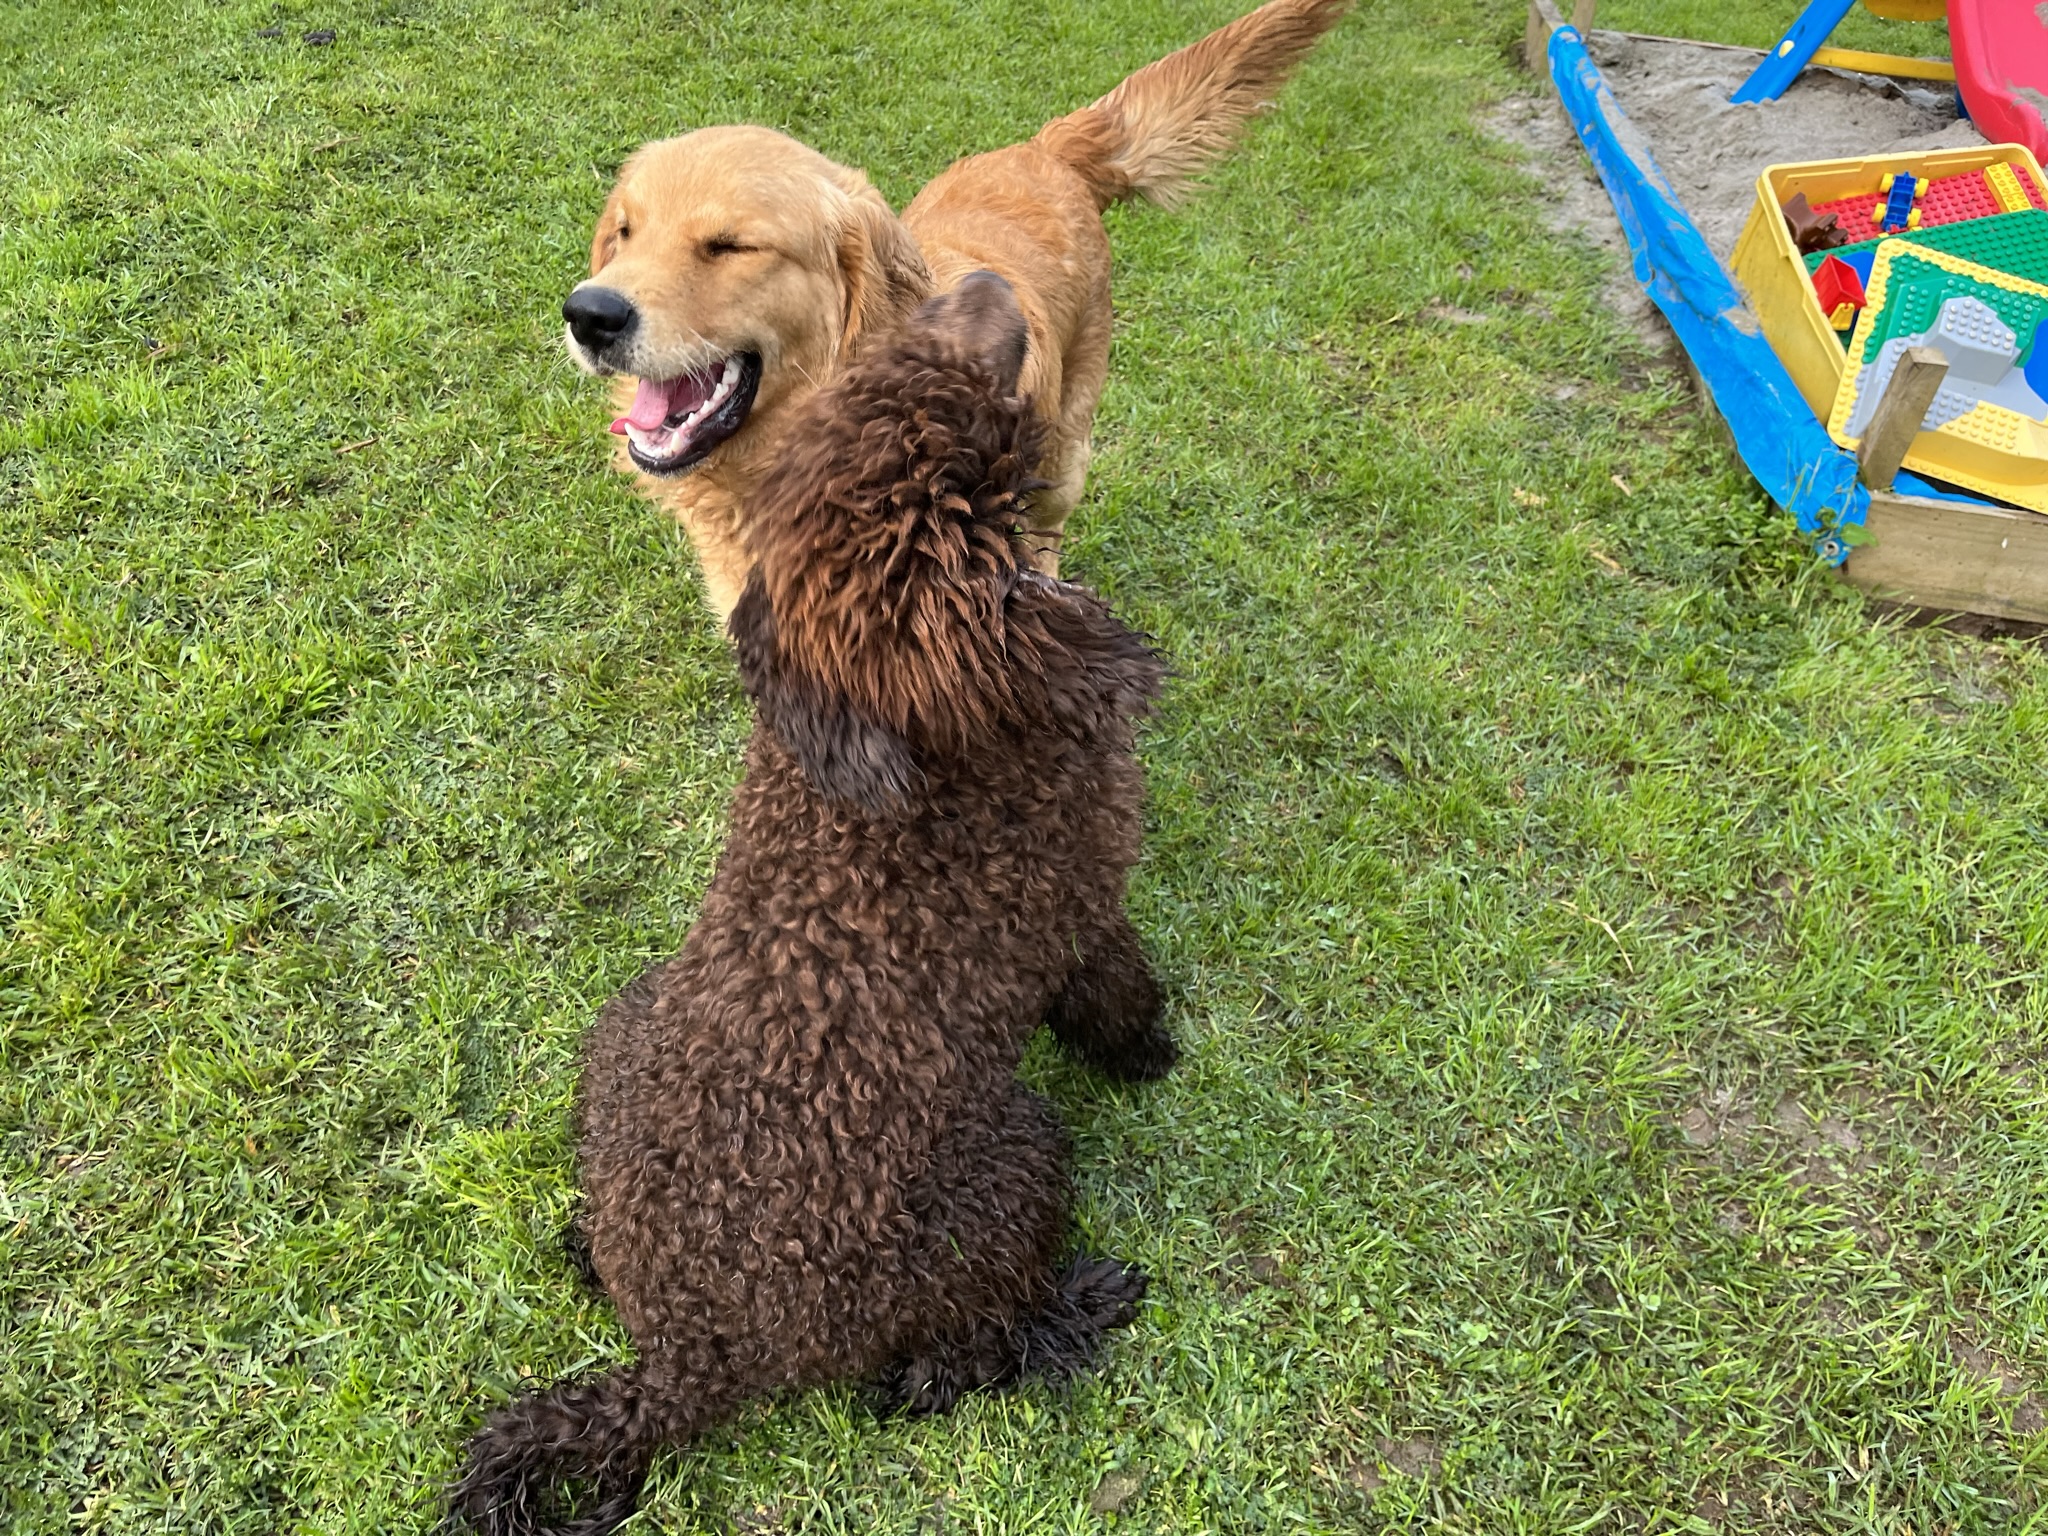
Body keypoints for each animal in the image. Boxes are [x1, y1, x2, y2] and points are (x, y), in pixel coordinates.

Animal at [454, 276, 1179, 1536]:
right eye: (957, 427)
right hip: (1011, 1162)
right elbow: (1118, 995)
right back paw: (1075, 1307)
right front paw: (1155, 1054)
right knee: (947, 1362)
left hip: (623, 1024)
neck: (921, 723)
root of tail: (683, 1362)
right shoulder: (1085, 915)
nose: (983, 286)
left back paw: (585, 1242)